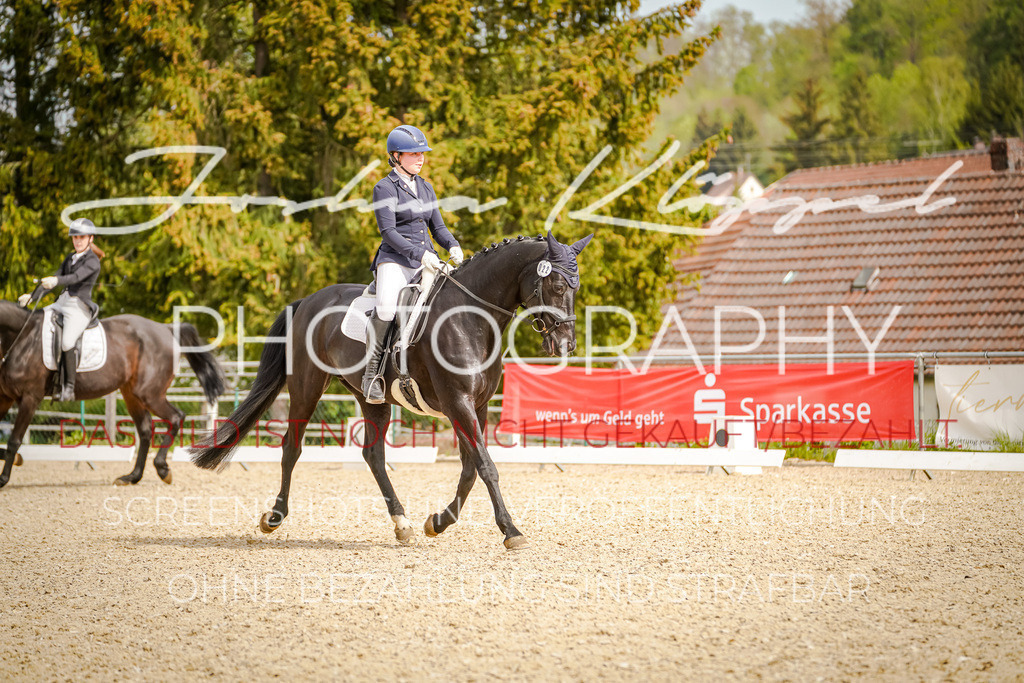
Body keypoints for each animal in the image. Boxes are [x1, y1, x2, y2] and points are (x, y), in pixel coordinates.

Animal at [0, 301, 225, 489]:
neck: (22, 337)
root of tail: (165, 328)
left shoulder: (30, 397)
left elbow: (14, 440)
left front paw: (3, 479)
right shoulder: (5, 398)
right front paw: (16, 461)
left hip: (149, 394)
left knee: (175, 417)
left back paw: (162, 469)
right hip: (131, 395)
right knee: (145, 430)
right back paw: (132, 477)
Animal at [192, 233, 593, 548]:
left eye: (574, 287)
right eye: (558, 287)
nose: (566, 345)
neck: (469, 316)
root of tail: (307, 301)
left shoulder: (475, 406)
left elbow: (469, 469)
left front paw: (437, 523)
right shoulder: (457, 402)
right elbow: (485, 466)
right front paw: (511, 532)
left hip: (372, 398)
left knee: (373, 456)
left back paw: (402, 524)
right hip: (307, 387)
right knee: (292, 448)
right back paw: (274, 517)